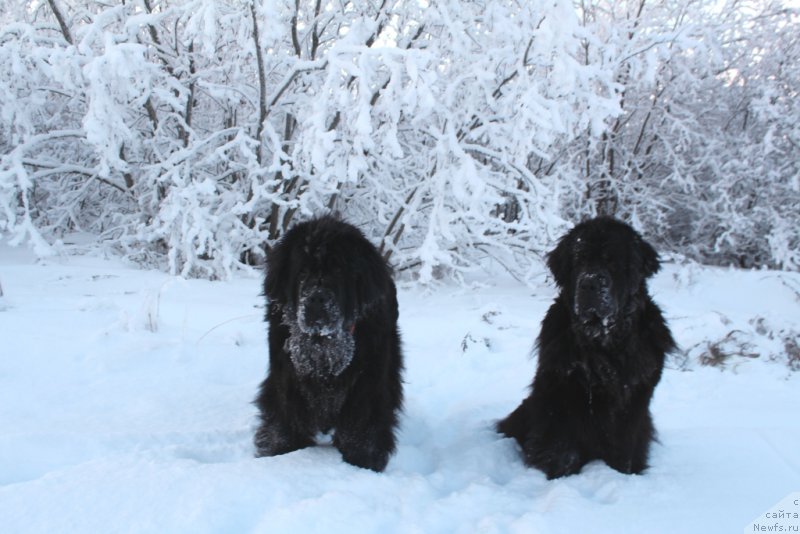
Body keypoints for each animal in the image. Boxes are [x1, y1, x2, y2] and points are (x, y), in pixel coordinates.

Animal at [255, 218, 404, 474]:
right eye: (302, 271)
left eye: (338, 270)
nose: (317, 297)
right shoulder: (285, 379)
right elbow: (285, 419)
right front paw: (283, 453)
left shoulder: (368, 382)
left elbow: (362, 425)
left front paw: (363, 462)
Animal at [500, 218, 676, 482]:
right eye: (579, 260)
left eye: (612, 261)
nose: (590, 282)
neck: (602, 344)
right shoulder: (560, 394)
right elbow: (562, 449)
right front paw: (560, 476)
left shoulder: (634, 401)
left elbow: (623, 448)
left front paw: (620, 475)